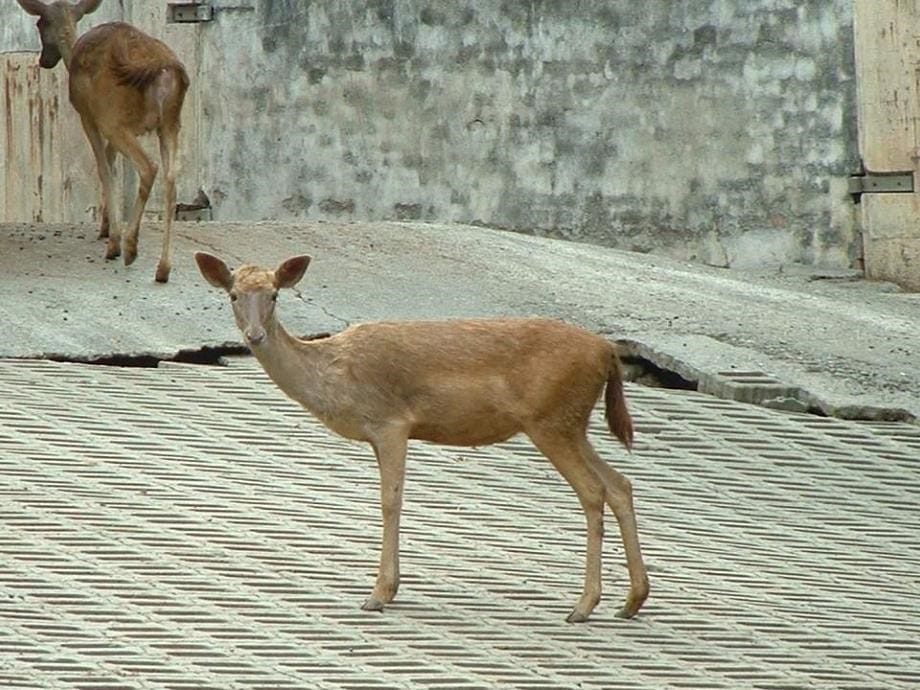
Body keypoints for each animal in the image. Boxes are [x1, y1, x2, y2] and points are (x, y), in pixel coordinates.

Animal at [16, 0, 189, 282]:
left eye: (40, 24)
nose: (44, 61)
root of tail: (163, 71)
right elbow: (111, 161)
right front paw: (106, 226)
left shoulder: (90, 115)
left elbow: (103, 168)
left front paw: (112, 239)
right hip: (170, 123)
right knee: (171, 179)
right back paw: (163, 268)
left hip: (116, 118)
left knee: (148, 167)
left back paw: (128, 247)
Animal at [196, 249, 656, 624]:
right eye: (233, 295)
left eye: (274, 294)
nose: (254, 335)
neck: (335, 377)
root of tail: (608, 352)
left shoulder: (391, 422)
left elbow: (390, 501)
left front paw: (380, 593)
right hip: (571, 423)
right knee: (620, 484)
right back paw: (631, 601)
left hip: (550, 419)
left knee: (593, 491)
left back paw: (584, 606)